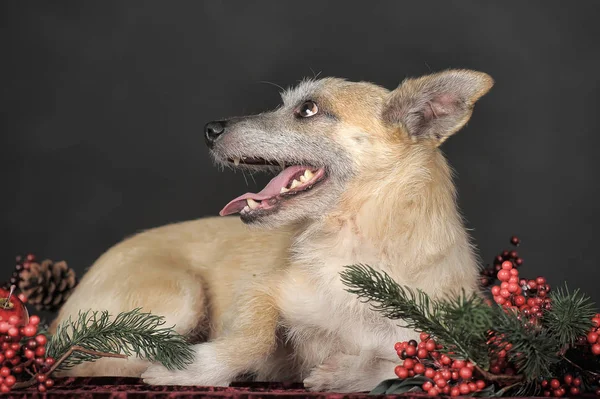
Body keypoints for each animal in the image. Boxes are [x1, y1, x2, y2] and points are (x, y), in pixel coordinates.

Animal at [50, 69, 492, 394]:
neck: (356, 250)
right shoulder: (263, 291)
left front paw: (343, 374)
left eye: (309, 109)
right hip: (180, 293)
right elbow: (254, 336)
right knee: (84, 362)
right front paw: (191, 368)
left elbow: (404, 363)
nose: (210, 129)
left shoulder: (454, 346)